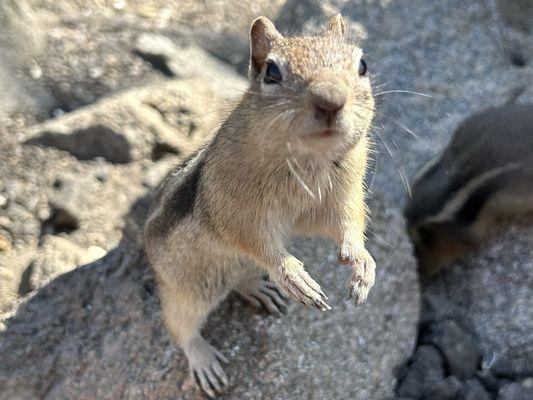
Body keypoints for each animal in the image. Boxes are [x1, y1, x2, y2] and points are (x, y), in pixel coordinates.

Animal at [142, 14, 374, 396]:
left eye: (363, 65)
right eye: (272, 72)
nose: (330, 100)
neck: (308, 160)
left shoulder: (336, 197)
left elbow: (345, 223)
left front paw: (362, 263)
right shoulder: (235, 212)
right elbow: (256, 242)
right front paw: (294, 276)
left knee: (242, 278)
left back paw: (260, 289)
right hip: (184, 290)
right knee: (181, 327)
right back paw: (203, 360)